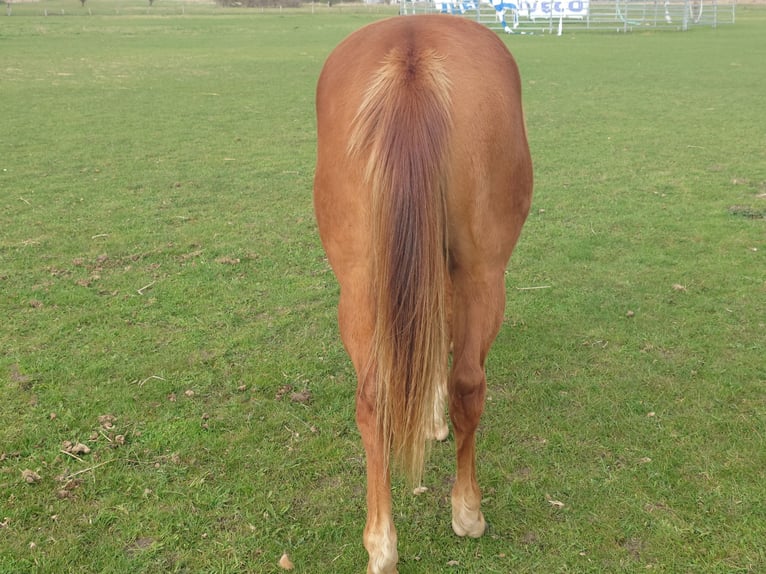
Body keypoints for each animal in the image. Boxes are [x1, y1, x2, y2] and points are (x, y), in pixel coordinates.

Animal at [313, 15, 533, 573]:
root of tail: (410, 54)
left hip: (360, 284)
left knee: (372, 399)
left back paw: (381, 545)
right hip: (485, 273)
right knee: (469, 384)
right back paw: (467, 512)